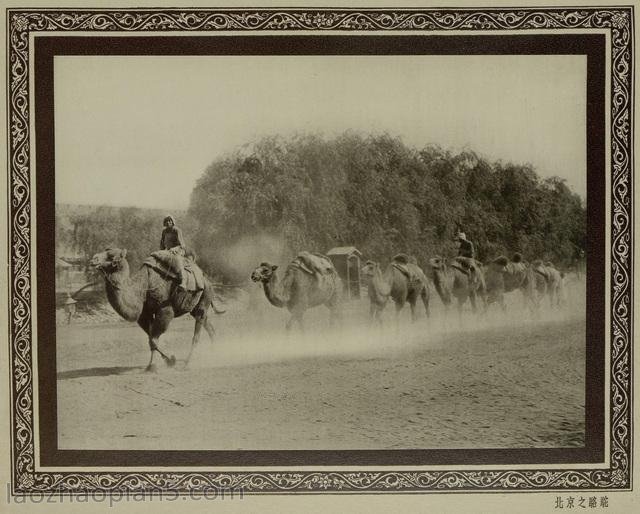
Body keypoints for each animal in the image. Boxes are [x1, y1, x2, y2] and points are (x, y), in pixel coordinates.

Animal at [90, 247, 222, 370]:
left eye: (111, 256)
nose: (93, 259)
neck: (144, 286)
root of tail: (206, 279)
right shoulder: (144, 314)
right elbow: (151, 339)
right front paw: (163, 362)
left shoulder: (165, 311)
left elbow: (153, 338)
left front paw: (161, 364)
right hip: (194, 307)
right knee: (209, 326)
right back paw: (214, 353)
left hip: (205, 297)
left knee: (196, 334)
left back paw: (188, 363)